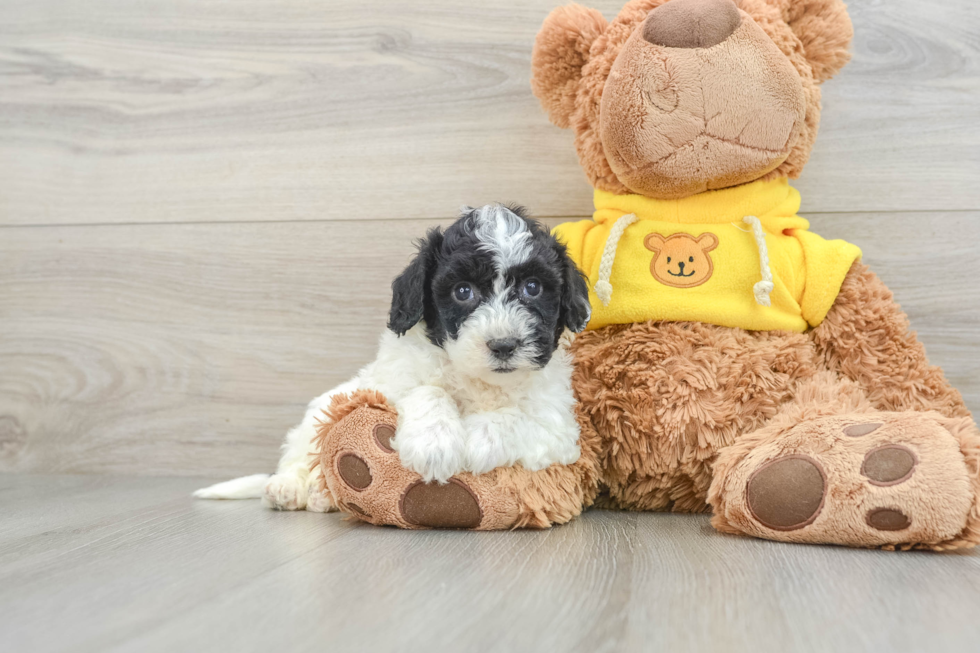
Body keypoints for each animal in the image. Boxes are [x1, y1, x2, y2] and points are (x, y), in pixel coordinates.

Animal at [195, 204, 584, 510]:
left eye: (532, 288)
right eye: (463, 292)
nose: (503, 345)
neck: (479, 380)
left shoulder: (558, 427)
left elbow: (517, 418)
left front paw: (475, 439)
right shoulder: (392, 384)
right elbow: (428, 390)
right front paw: (434, 442)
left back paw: (319, 497)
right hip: (317, 416)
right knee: (299, 454)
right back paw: (290, 488)